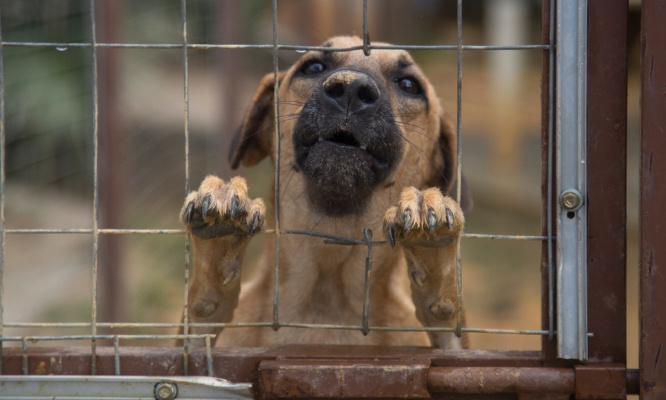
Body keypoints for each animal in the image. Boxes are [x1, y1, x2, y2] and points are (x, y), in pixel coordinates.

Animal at [179, 36, 470, 350]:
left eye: (408, 84)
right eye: (314, 67)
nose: (352, 89)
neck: (327, 294)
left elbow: (448, 314)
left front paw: (433, 256)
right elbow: (201, 310)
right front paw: (219, 242)